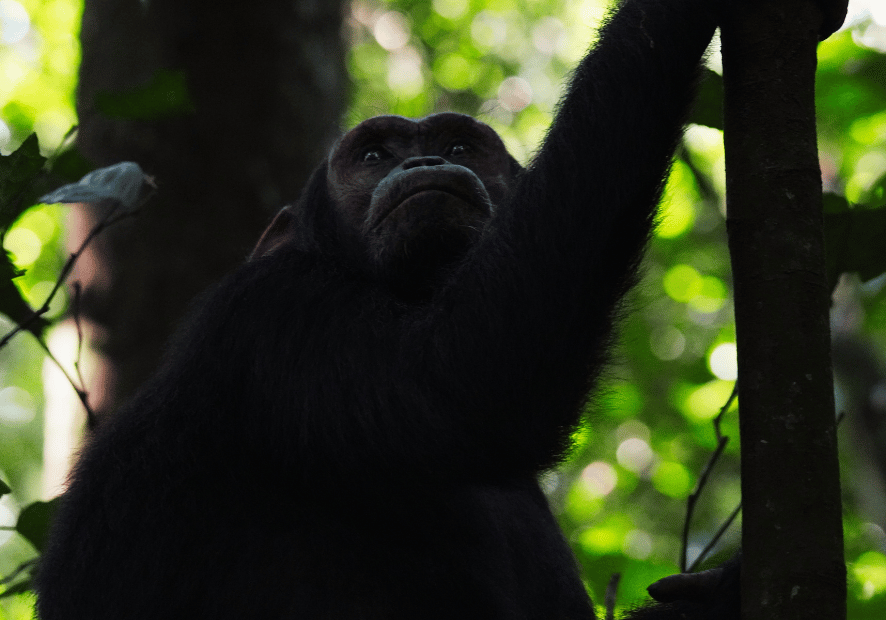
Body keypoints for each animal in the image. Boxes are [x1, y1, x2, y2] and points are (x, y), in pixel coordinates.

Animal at [33, 0, 848, 616]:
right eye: (372, 156)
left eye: (459, 145)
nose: (425, 161)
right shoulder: (276, 323)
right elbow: (466, 377)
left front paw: (719, 593)